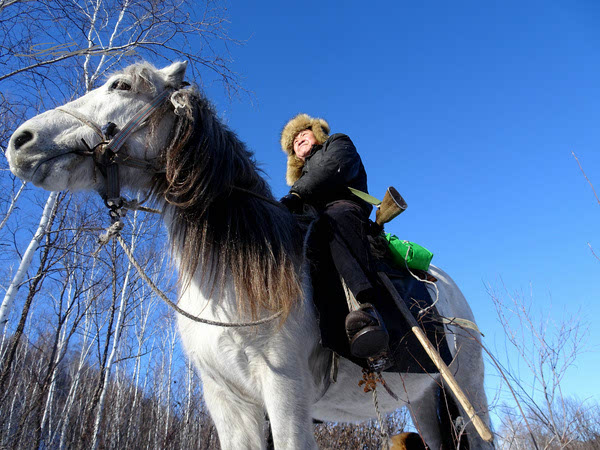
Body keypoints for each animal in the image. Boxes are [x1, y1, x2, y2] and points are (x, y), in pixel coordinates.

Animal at [5, 60, 492, 450]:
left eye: (121, 86)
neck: (236, 272)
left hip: (469, 395)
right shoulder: (228, 402)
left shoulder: (285, 394)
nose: (19, 141)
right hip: (425, 402)